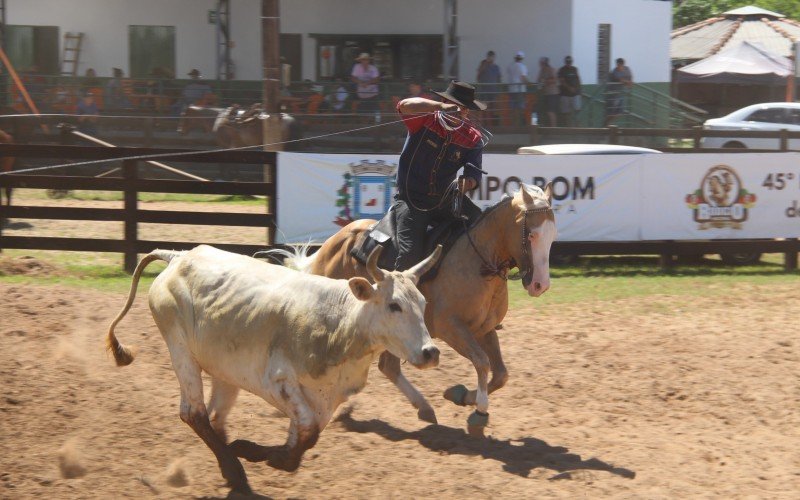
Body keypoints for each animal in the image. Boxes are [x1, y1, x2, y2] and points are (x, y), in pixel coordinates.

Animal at [105, 244, 440, 494]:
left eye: (423, 303)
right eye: (394, 305)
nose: (431, 352)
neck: (341, 322)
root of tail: (179, 257)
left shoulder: (327, 398)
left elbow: (304, 438)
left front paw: (259, 452)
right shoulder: (279, 383)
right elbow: (306, 431)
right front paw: (254, 451)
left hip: (225, 373)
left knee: (214, 417)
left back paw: (230, 466)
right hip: (181, 352)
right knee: (194, 413)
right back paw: (235, 470)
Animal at [304, 183, 552, 434]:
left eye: (552, 237)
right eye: (531, 234)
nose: (540, 285)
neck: (477, 264)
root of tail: (332, 243)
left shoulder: (484, 329)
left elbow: (501, 374)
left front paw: (462, 396)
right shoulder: (451, 328)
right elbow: (482, 362)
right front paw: (479, 412)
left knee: (388, 367)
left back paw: (423, 408)